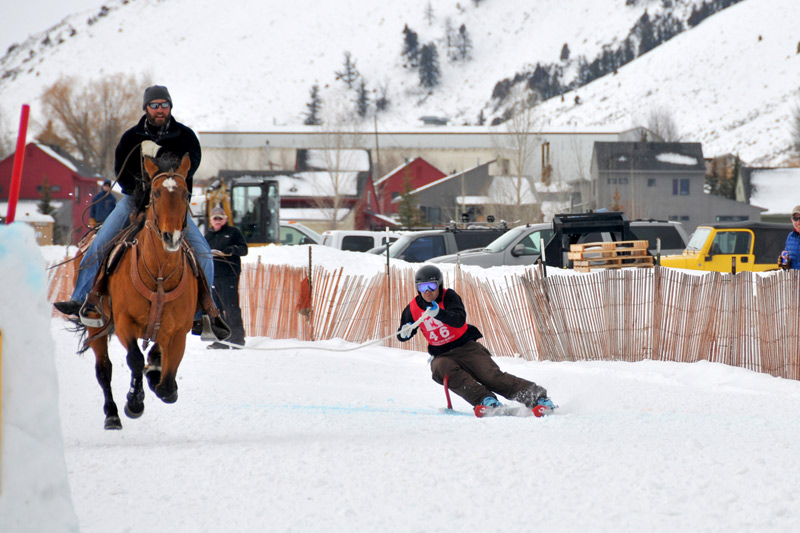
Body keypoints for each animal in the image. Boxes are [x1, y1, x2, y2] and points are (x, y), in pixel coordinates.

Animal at [85, 154, 198, 428]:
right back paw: (112, 414)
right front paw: (134, 403)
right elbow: (135, 359)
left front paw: (156, 378)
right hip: (96, 324)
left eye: (186, 194)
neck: (159, 274)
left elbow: (167, 384)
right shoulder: (124, 322)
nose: (171, 237)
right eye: (155, 193)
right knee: (104, 369)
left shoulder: (178, 332)